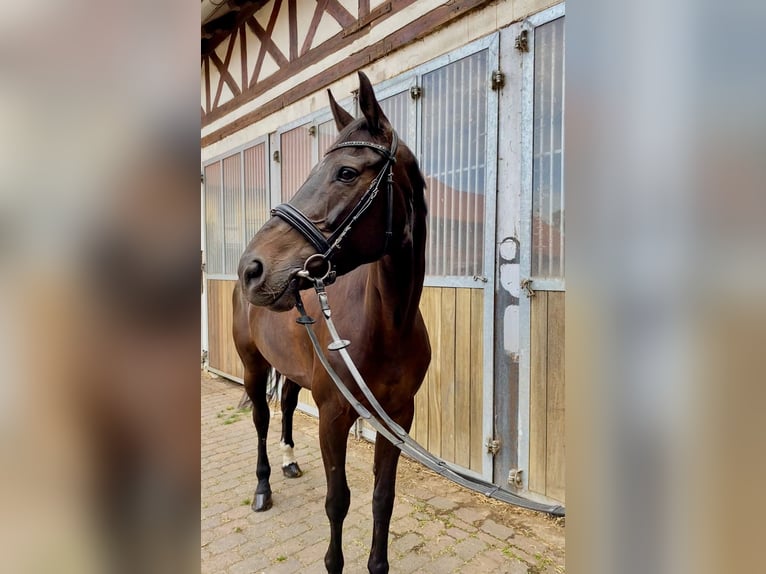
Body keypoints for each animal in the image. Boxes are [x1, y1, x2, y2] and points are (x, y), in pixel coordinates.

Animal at [232, 73, 432, 574]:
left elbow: (383, 498)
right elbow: (337, 501)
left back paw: (288, 461)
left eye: (346, 172)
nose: (252, 269)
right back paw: (263, 487)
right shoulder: (333, 415)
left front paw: (377, 565)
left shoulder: (398, 417)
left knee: (285, 406)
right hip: (252, 365)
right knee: (262, 419)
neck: (387, 324)